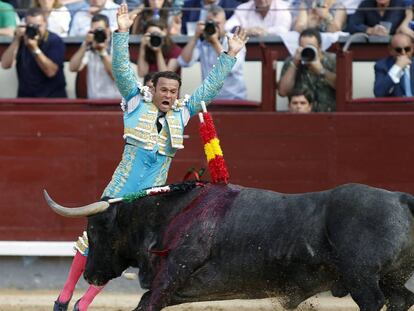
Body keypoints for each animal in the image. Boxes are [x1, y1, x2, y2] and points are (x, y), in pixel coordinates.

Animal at [47, 183, 414, 311]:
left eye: (95, 228)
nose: (91, 275)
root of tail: (400, 198)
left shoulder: (168, 279)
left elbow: (146, 304)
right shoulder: (176, 289)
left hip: (362, 279)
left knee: (374, 302)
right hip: (390, 278)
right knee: (402, 299)